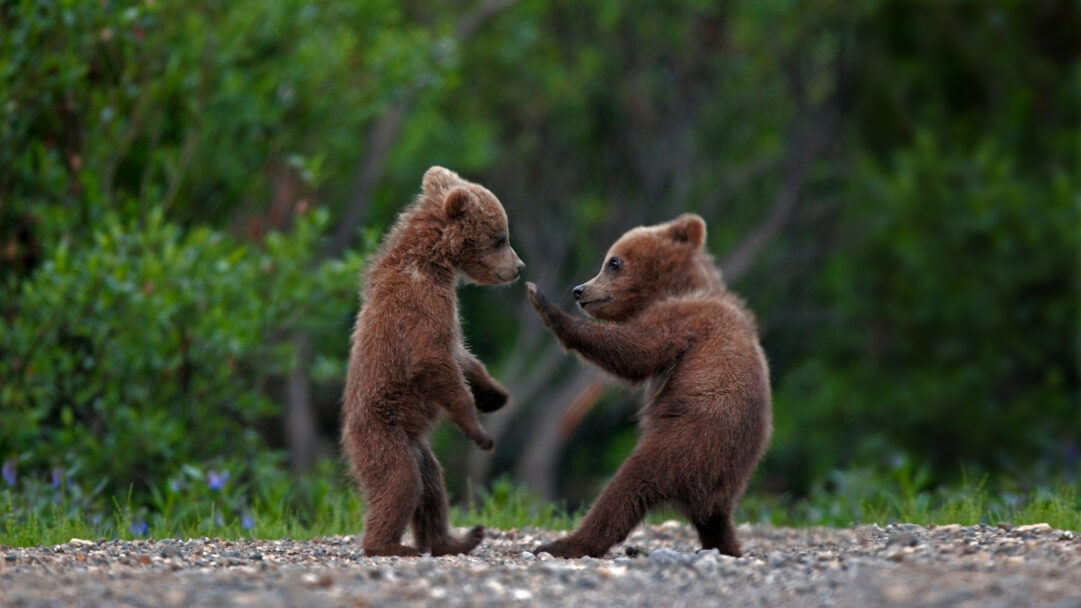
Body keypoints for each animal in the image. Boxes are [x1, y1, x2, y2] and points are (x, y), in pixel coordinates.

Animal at [341, 166, 525, 557]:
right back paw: (389, 545)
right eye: (501, 237)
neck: (434, 261)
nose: (519, 266)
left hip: (418, 449)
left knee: (432, 489)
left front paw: (495, 395)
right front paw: (479, 431)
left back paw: (456, 539)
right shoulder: (421, 304)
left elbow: (462, 356)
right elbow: (433, 360)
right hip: (384, 435)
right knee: (399, 483)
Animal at [525, 213, 771, 558]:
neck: (678, 288)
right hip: (725, 477)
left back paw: (563, 543)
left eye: (613, 262)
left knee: (626, 487)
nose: (579, 290)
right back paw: (727, 547)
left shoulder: (682, 322)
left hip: (685, 443)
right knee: (715, 520)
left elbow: (635, 351)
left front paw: (544, 302)